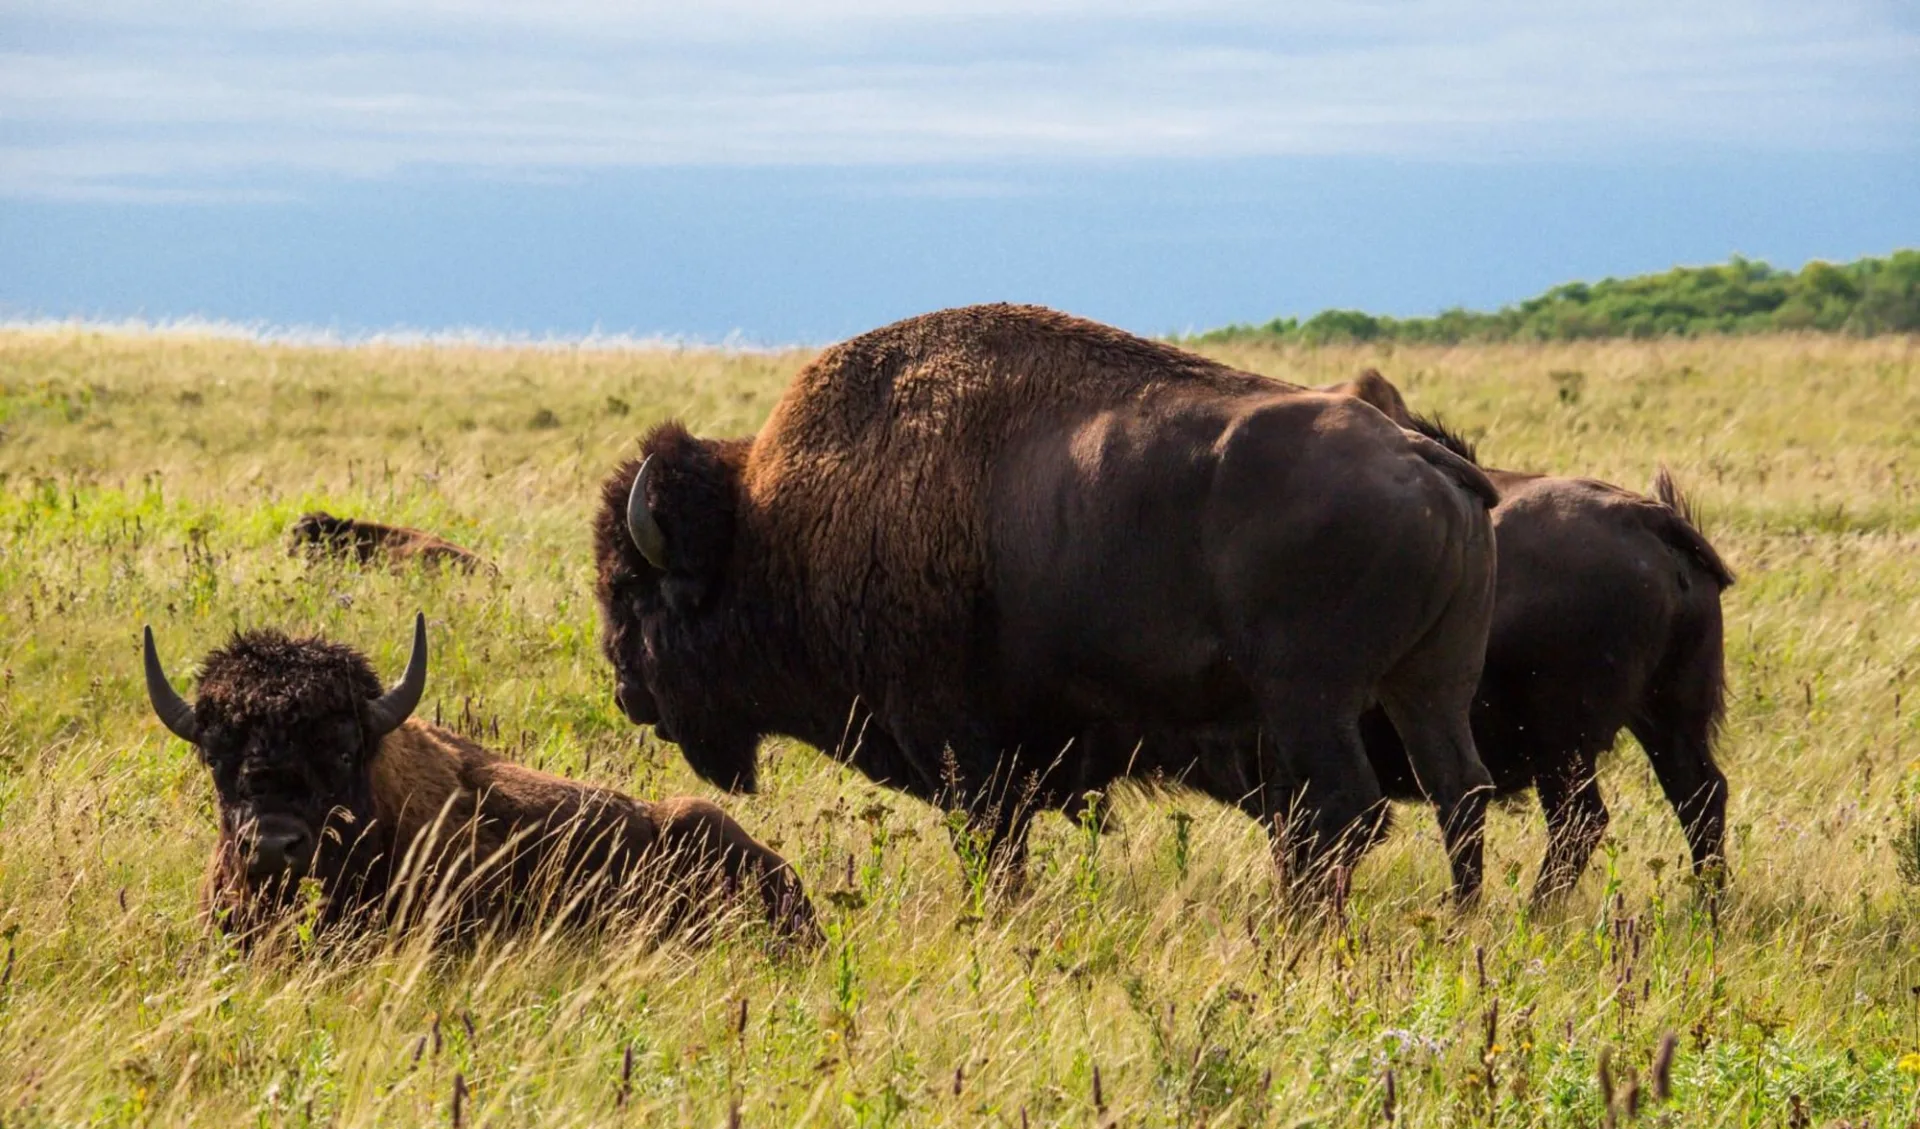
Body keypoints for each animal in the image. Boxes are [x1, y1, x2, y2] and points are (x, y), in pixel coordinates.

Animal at [595, 303, 1497, 902]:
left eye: (632, 593)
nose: (626, 690)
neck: (772, 522)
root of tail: (1420, 455)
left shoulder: (957, 742)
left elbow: (993, 842)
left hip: (1311, 697)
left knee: (1344, 813)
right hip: (1430, 685)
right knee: (1458, 791)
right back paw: (1458, 921)